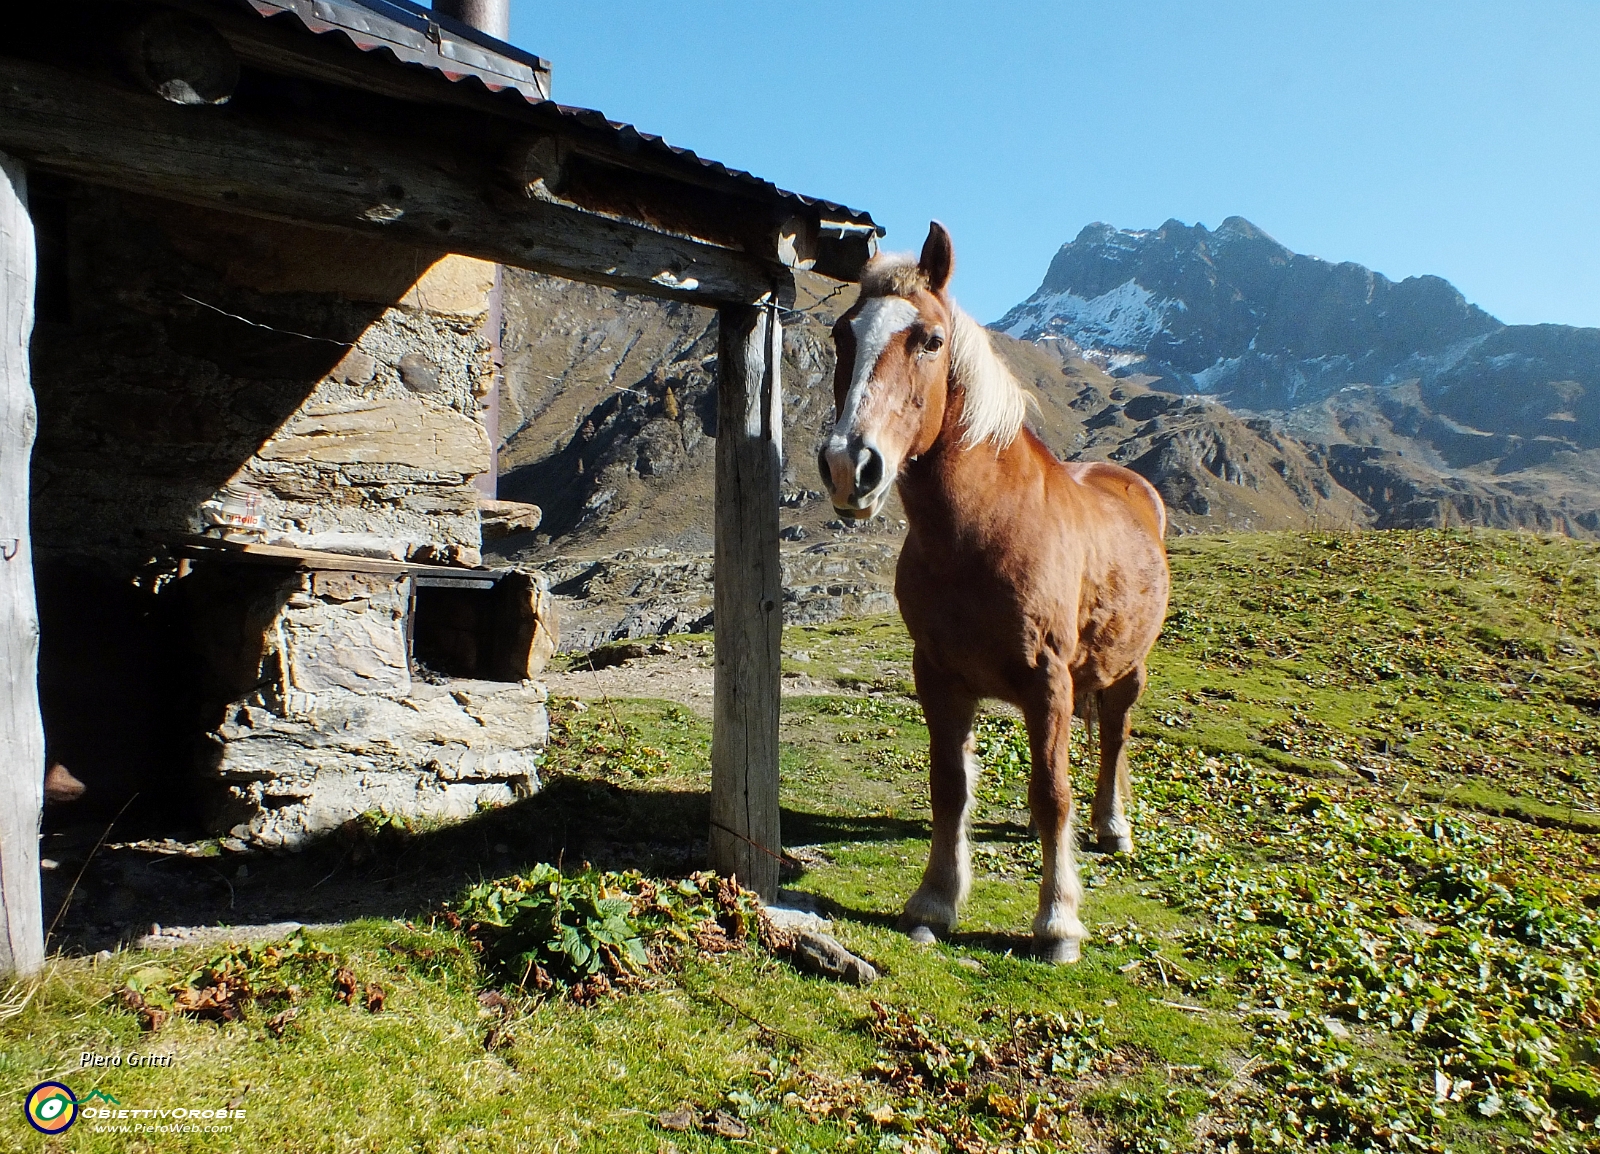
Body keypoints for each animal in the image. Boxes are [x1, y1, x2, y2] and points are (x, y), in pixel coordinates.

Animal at [819, 220, 1171, 960]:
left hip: (1128, 669)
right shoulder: (938, 675)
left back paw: (1113, 827)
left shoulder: (1048, 679)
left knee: (1115, 736)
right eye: (843, 333)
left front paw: (1058, 921)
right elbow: (950, 787)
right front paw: (935, 900)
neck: (986, 528)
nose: (848, 466)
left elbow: (1053, 792)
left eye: (929, 339)